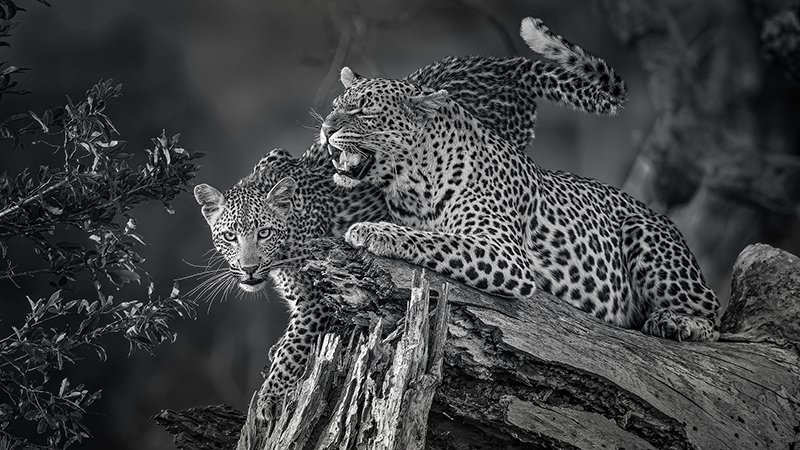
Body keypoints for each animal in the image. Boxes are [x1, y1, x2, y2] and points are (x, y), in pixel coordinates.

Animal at [193, 16, 629, 421]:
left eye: (264, 232)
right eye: (229, 236)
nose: (326, 128)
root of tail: (504, 64)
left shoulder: (316, 295)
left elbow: (296, 344)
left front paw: (270, 394)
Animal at [322, 17, 720, 344]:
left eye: (366, 111)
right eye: (336, 105)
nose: (326, 129)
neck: (412, 185)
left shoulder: (505, 254)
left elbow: (432, 238)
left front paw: (372, 230)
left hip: (645, 233)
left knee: (713, 315)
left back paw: (677, 322)